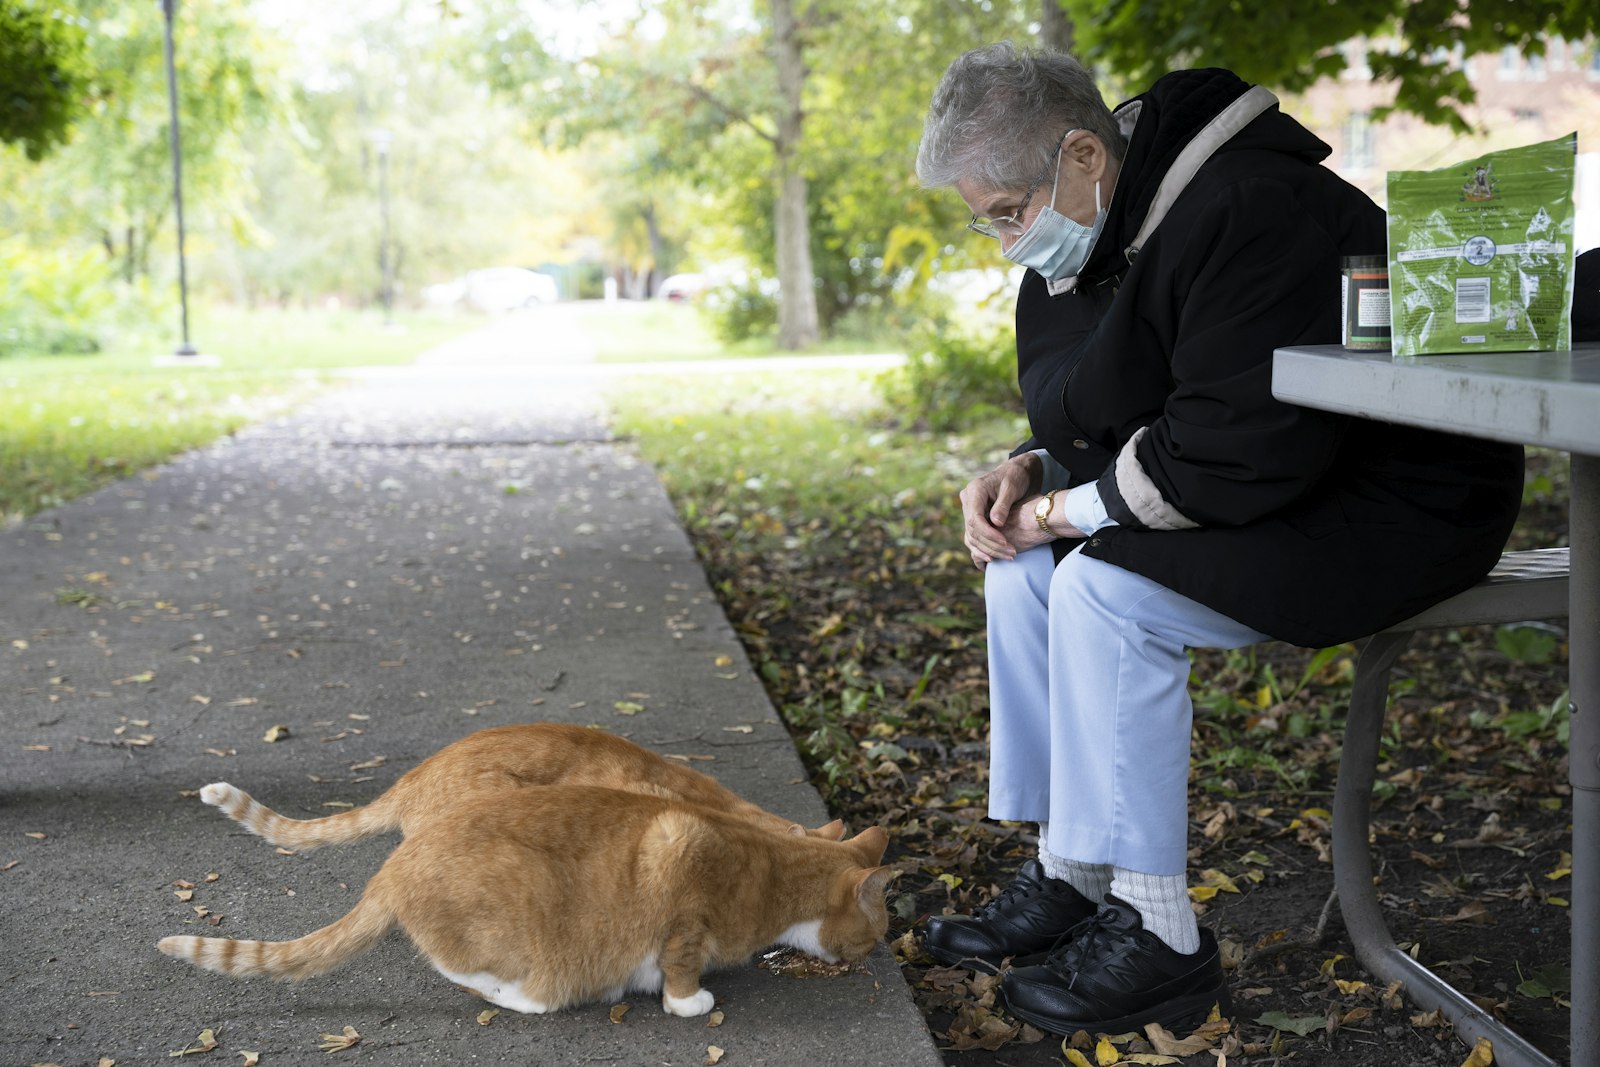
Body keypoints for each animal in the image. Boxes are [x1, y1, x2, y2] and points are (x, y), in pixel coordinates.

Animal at [160, 783, 896, 1017]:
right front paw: (690, 1002)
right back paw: (522, 993)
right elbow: (682, 969)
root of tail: (389, 872)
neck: (769, 866)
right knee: (485, 978)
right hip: (529, 928)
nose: (872, 958)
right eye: (877, 930)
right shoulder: (682, 875)